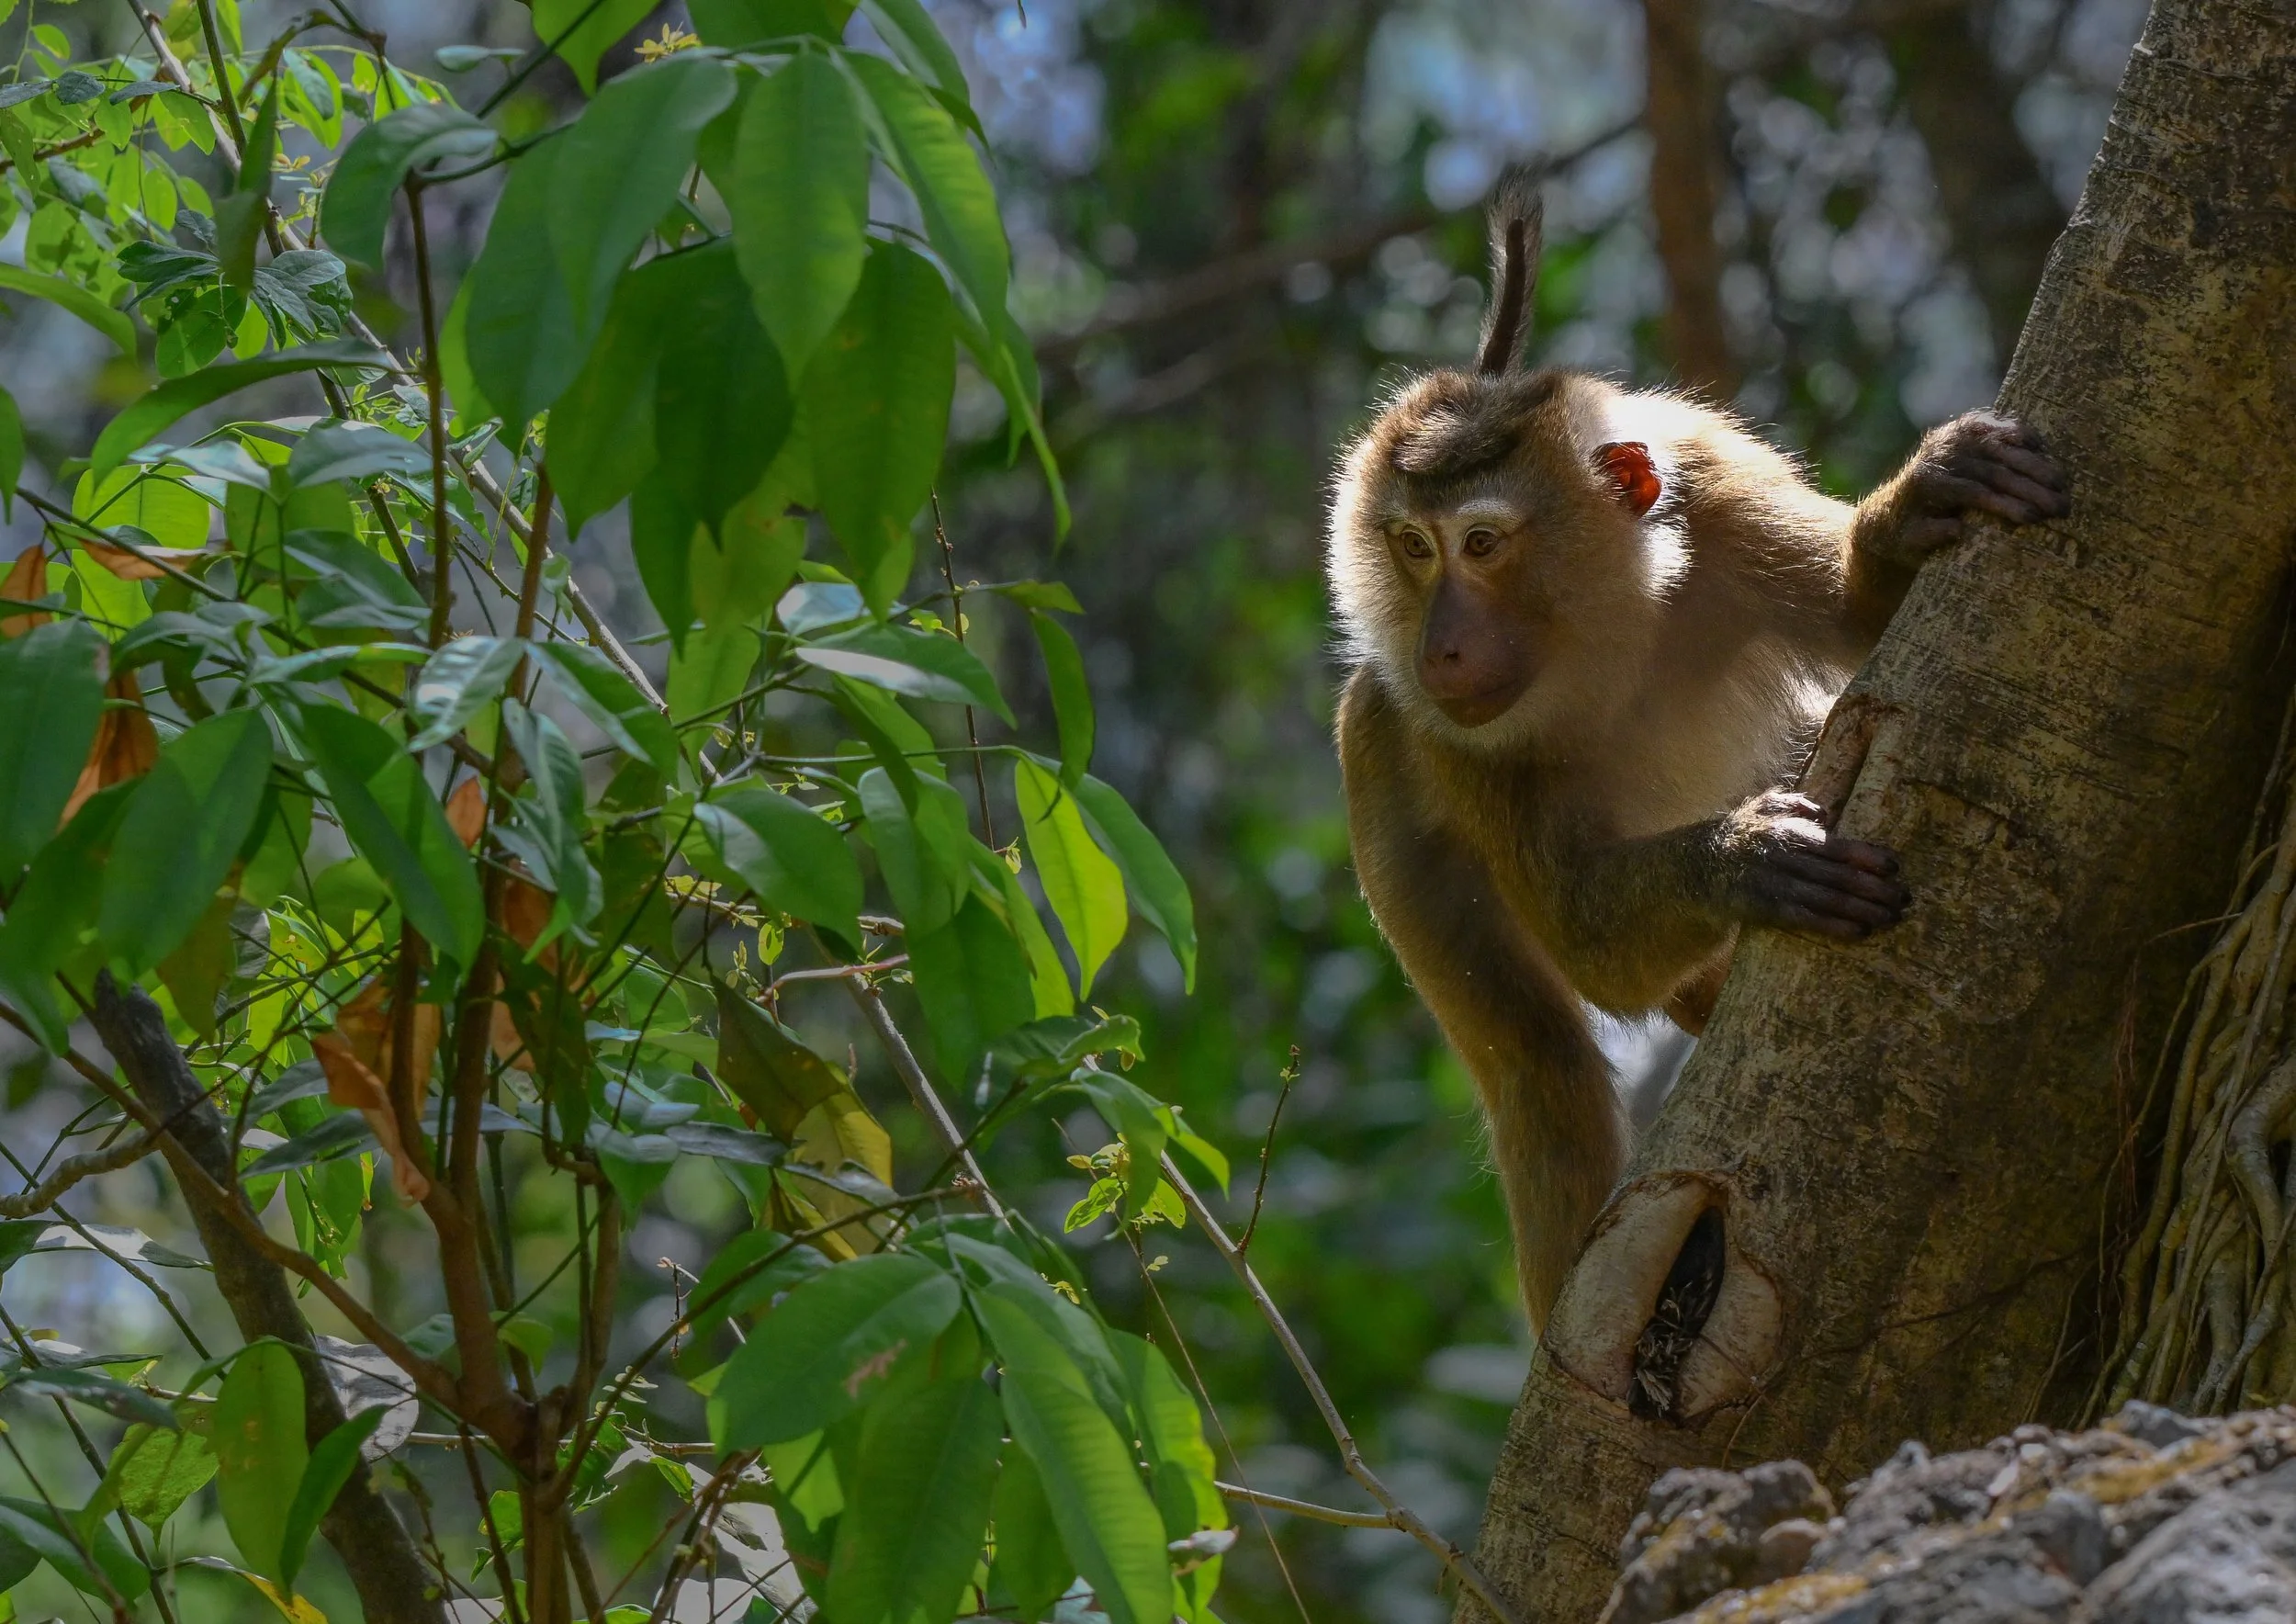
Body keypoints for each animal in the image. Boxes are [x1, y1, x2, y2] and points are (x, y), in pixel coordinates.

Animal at [1325, 173, 2069, 1332]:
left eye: (1480, 544)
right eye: (1411, 547)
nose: (1436, 643)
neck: (1612, 636)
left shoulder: (1716, 489)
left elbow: (1857, 616)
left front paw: (1915, 514)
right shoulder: (1449, 741)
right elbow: (1589, 943)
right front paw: (1747, 861)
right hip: (1379, 767)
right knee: (1539, 1070)